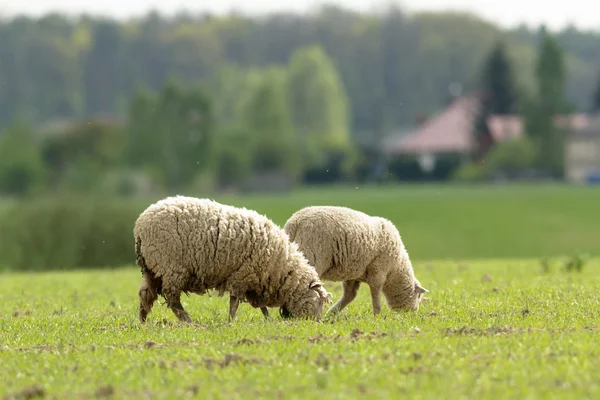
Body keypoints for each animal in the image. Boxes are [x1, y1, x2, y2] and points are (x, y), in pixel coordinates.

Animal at [134, 195, 332, 324]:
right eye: (318, 301)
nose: (316, 323)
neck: (282, 268)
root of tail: (140, 226)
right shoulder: (242, 276)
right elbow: (234, 303)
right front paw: (231, 322)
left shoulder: (255, 281)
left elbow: (261, 306)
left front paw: (268, 319)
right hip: (171, 267)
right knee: (172, 299)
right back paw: (188, 321)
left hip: (152, 268)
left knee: (145, 294)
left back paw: (143, 321)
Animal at [284, 206, 428, 316]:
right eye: (418, 297)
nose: (412, 314)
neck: (396, 268)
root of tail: (295, 222)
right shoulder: (378, 271)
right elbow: (375, 293)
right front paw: (378, 315)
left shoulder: (354, 275)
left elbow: (350, 295)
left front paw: (332, 313)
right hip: (311, 255)